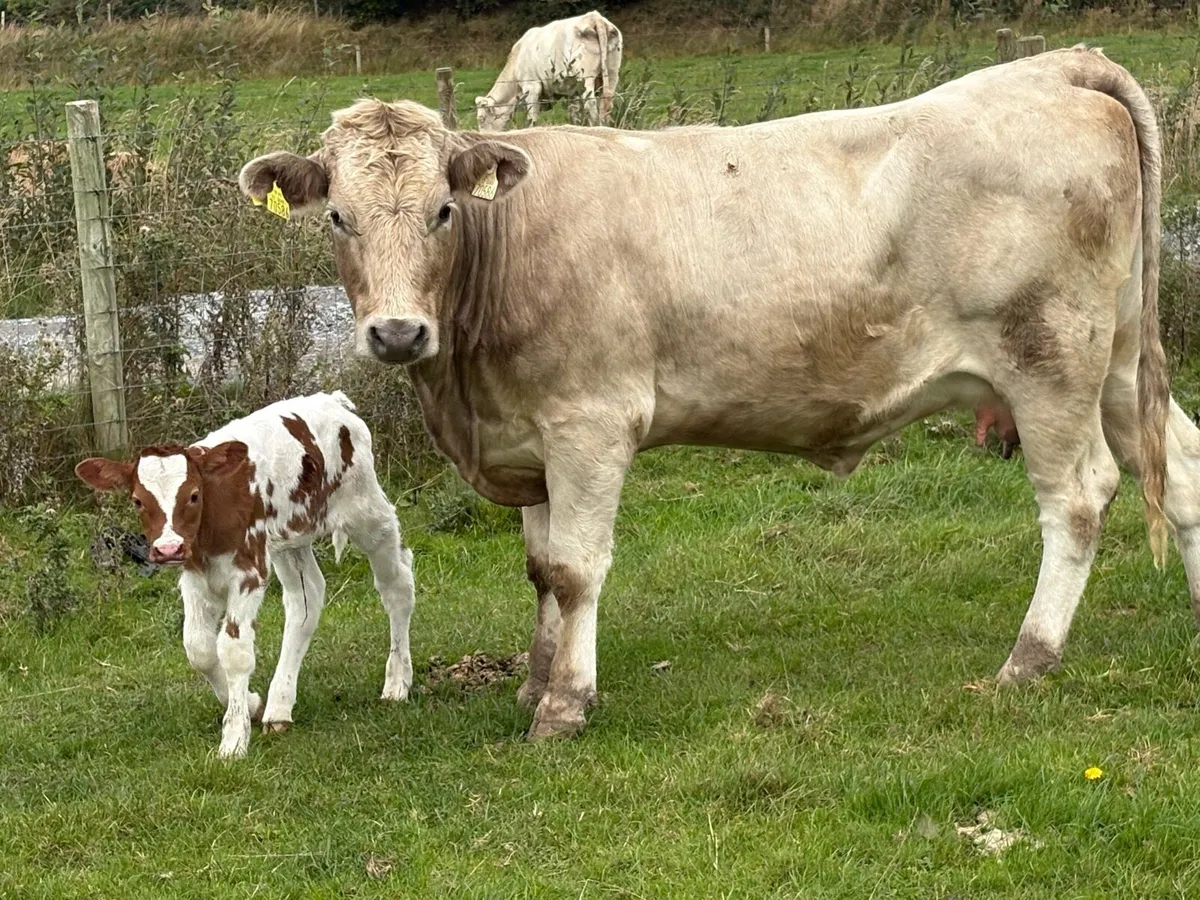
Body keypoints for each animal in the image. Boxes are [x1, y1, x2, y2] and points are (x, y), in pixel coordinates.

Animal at [75, 391, 416, 759]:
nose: (168, 548)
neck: (213, 518)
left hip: (366, 509)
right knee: (305, 601)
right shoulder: (194, 575)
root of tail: (331, 400)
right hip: (289, 539)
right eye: (138, 501)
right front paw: (250, 704)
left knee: (397, 583)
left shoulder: (248, 570)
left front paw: (234, 739)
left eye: (193, 495)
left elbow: (234, 651)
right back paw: (279, 706)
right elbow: (198, 648)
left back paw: (397, 682)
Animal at [239, 46, 1200, 744]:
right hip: (1117, 356)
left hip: (1050, 360)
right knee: (1182, 468)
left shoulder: (589, 423)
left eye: (443, 209)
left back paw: (1029, 658)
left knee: (1079, 497)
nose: (398, 333)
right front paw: (533, 682)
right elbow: (542, 571)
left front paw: (565, 706)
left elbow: (577, 570)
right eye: (338, 217)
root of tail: (1056, 65)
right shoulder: (530, 438)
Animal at [475, 10, 622, 131]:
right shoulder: (572, 91)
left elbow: (532, 118)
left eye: (481, 119)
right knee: (606, 105)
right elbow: (574, 114)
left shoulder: (532, 86)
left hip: (586, 77)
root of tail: (594, 17)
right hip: (612, 74)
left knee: (591, 105)